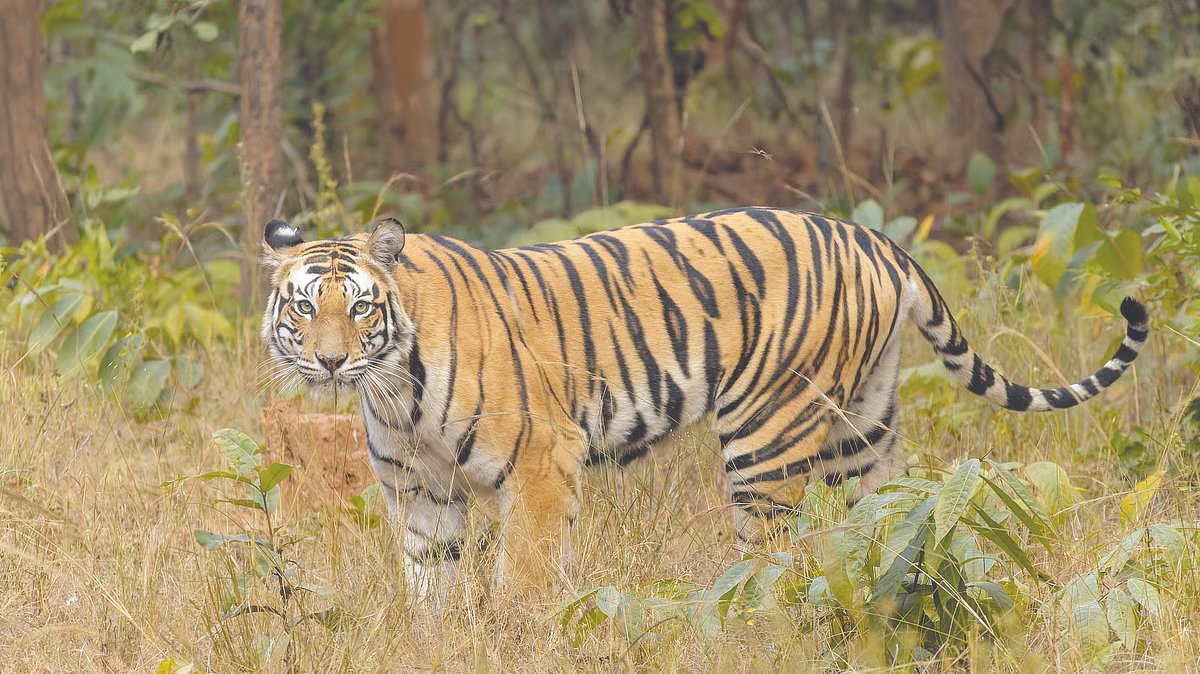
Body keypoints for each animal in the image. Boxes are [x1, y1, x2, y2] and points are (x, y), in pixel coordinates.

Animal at [260, 207, 1148, 601]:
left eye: (360, 307)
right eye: (305, 306)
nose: (331, 360)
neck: (393, 389)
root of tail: (869, 236)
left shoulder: (542, 463)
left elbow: (525, 578)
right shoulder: (422, 495)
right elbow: (431, 591)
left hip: (768, 438)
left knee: (772, 558)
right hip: (864, 429)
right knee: (891, 518)